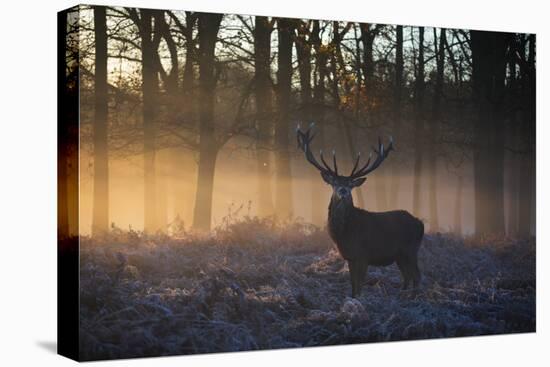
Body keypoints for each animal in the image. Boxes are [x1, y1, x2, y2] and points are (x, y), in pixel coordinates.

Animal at [300, 124, 424, 300]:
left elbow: (359, 287)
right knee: (407, 276)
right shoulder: (350, 257)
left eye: (350, 184)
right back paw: (402, 296)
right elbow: (353, 286)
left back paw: (412, 298)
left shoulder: (364, 255)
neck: (346, 234)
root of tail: (420, 224)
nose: (343, 191)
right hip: (400, 255)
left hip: (411, 249)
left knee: (417, 276)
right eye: (334, 182)